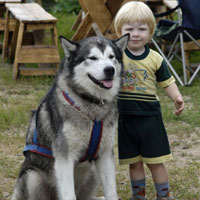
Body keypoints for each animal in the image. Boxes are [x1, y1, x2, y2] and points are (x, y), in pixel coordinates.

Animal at [11, 34, 128, 200]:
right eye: (92, 57)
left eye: (112, 57)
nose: (110, 69)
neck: (91, 103)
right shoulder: (64, 159)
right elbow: (68, 193)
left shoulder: (105, 155)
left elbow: (111, 192)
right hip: (32, 176)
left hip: (93, 172)